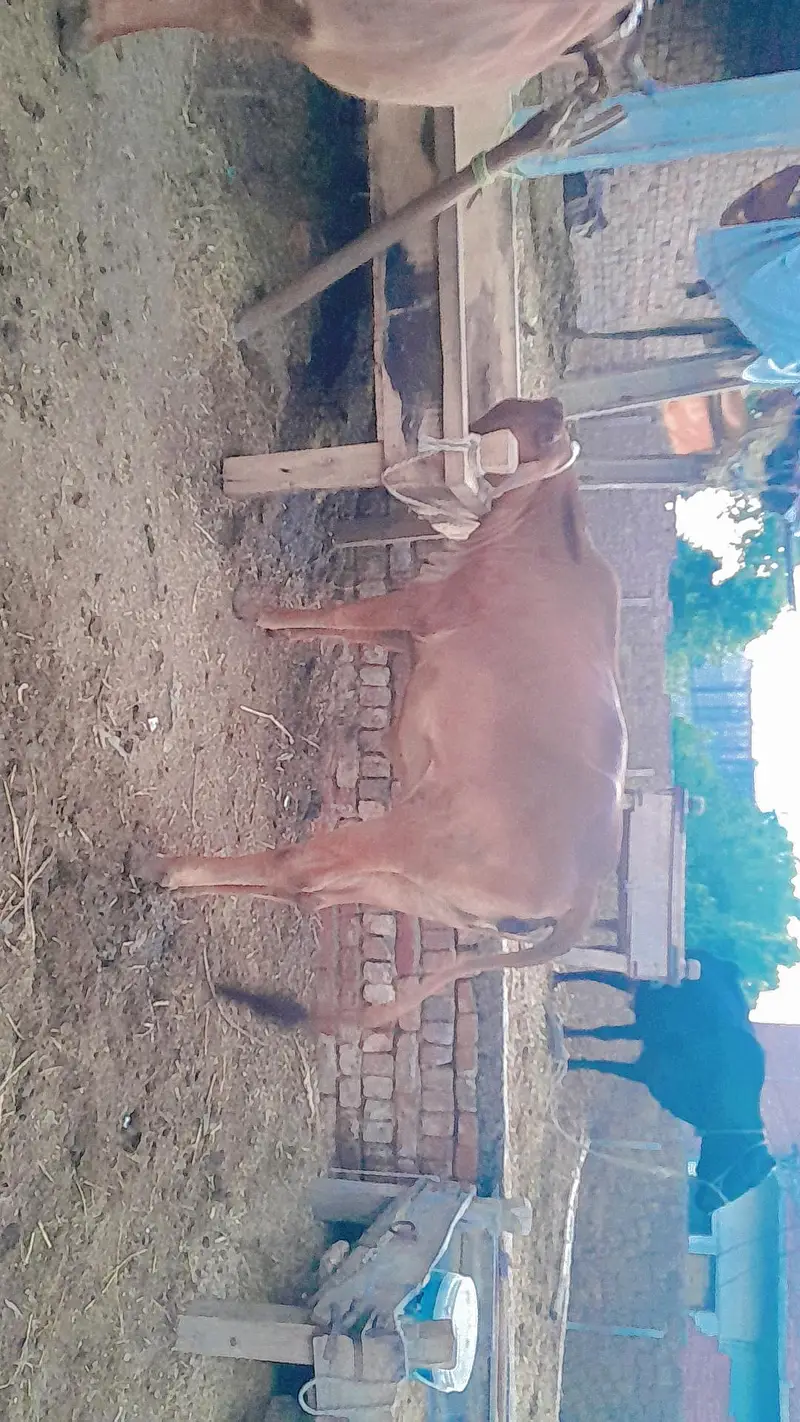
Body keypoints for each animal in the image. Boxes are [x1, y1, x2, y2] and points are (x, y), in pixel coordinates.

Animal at [132, 396, 629, 1036]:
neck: (542, 534)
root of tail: (587, 889)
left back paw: (166, 867)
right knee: (312, 892)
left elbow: (341, 615)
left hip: (404, 837)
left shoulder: (418, 606)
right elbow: (335, 626)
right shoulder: (412, 636)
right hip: (415, 888)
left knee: (300, 868)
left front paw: (256, 609)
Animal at [553, 955, 776, 1221]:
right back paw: (557, 979)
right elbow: (602, 1048)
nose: (706, 1206)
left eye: (748, 1186)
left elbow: (604, 1052)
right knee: (599, 974)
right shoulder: (651, 1068)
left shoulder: (647, 1072)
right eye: (740, 1172)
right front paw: (566, 1057)